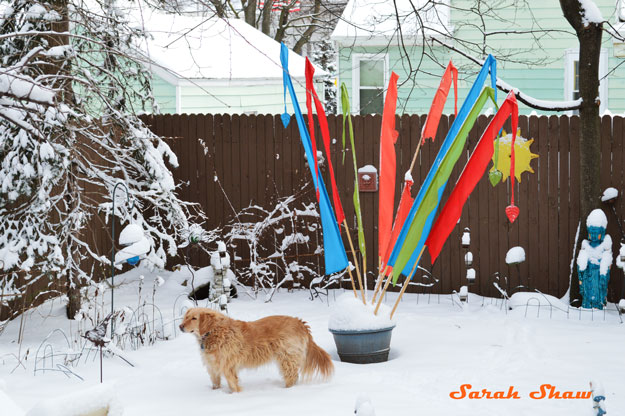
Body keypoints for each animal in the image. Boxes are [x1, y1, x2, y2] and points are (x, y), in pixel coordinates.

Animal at [178, 308, 334, 392]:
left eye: (194, 318)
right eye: (185, 317)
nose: (180, 326)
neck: (213, 332)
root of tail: (300, 322)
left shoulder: (228, 367)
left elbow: (233, 385)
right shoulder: (213, 367)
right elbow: (215, 383)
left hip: (287, 358)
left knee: (292, 376)